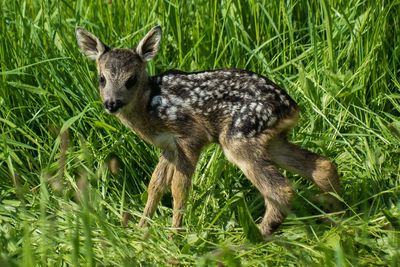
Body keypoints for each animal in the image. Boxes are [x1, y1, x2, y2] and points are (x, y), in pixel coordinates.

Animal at [76, 25, 340, 240]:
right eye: (101, 79)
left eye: (131, 80)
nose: (111, 103)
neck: (149, 105)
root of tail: (292, 107)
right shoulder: (168, 146)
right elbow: (155, 185)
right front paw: (141, 230)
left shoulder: (190, 137)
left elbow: (178, 188)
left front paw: (174, 237)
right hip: (271, 140)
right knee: (323, 165)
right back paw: (336, 217)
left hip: (239, 138)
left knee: (281, 190)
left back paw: (251, 238)